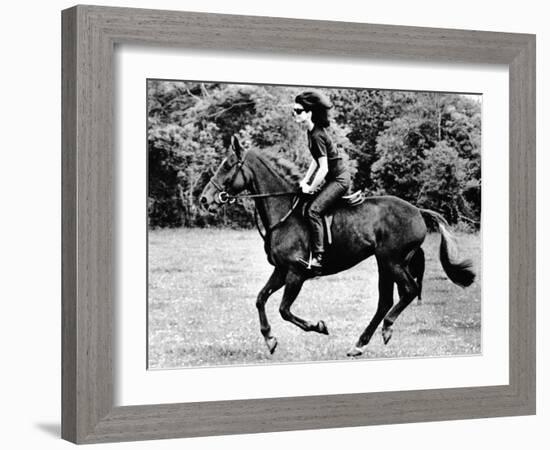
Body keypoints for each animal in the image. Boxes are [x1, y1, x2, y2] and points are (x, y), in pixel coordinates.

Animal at [201, 135, 476, 356]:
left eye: (227, 165)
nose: (204, 199)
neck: (284, 213)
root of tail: (418, 211)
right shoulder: (281, 270)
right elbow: (260, 299)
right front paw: (269, 338)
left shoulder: (296, 273)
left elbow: (284, 310)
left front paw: (319, 327)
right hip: (384, 263)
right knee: (385, 301)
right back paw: (359, 344)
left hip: (392, 260)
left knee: (408, 290)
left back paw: (386, 328)